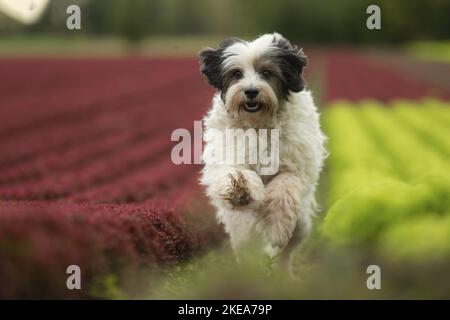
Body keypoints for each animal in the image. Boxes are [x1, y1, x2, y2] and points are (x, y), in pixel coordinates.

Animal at [199, 33, 326, 272]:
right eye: (236, 74)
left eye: (266, 73)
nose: (250, 91)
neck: (258, 124)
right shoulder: (229, 153)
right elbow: (233, 171)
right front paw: (240, 190)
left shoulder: (296, 166)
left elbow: (284, 188)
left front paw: (276, 228)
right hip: (241, 228)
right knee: (246, 248)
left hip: (301, 224)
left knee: (286, 250)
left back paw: (283, 272)